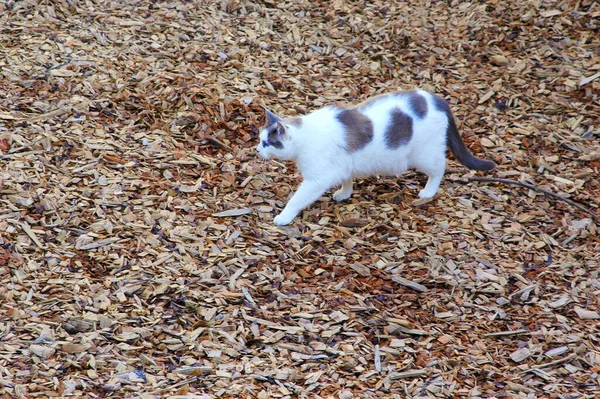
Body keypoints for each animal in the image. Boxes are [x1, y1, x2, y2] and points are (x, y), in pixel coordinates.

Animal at [255, 89, 494, 225]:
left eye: (267, 143)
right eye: (259, 139)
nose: (257, 149)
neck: (306, 136)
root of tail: (438, 100)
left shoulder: (317, 179)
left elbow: (296, 200)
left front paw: (284, 217)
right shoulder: (342, 166)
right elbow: (347, 180)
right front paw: (344, 194)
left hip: (423, 155)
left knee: (440, 169)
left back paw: (428, 192)